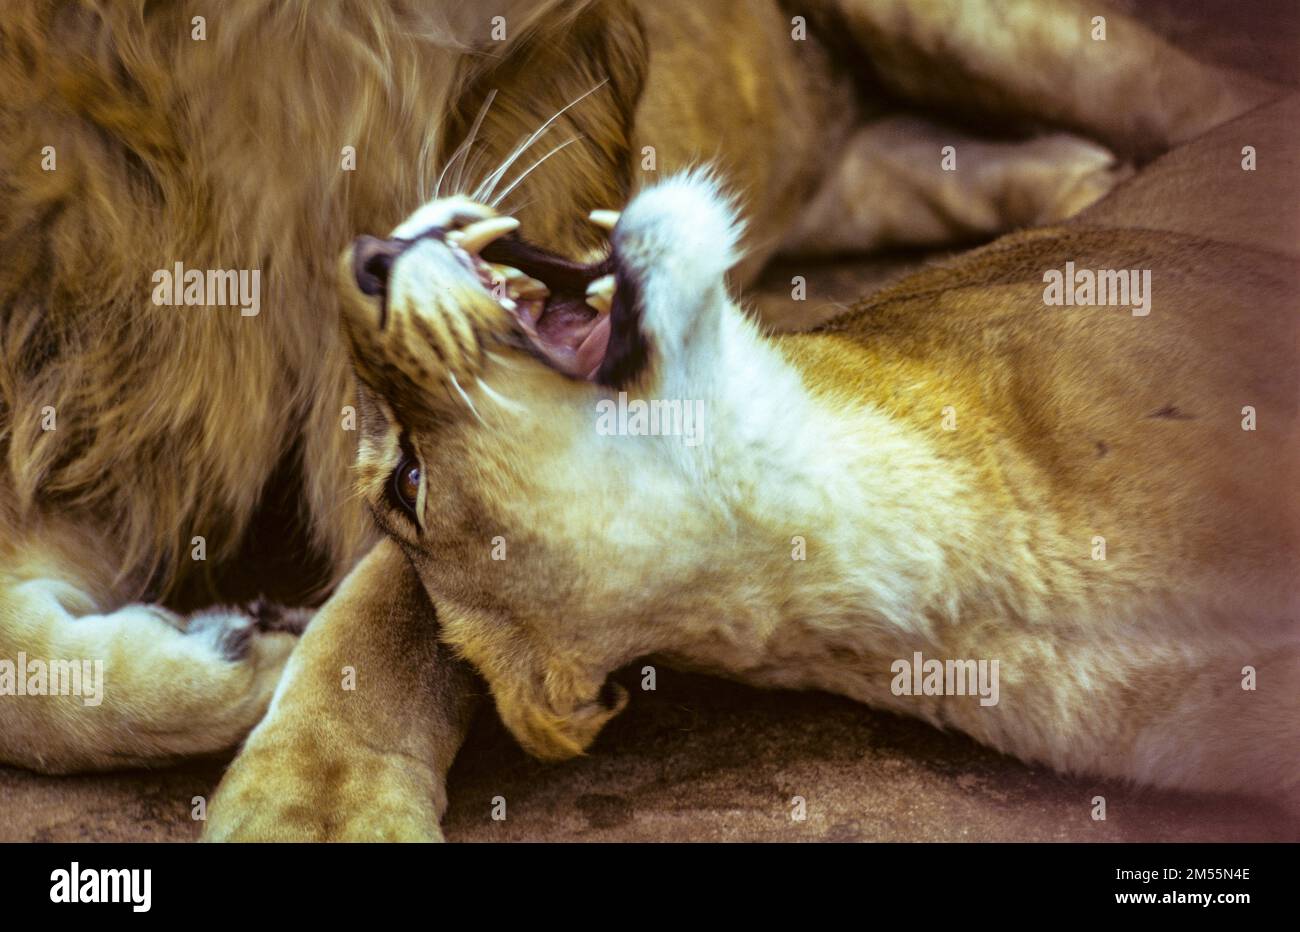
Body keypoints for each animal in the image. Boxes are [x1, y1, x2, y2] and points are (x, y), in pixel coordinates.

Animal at [0, 0, 1279, 826]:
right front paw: (238, 657)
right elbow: (32, 688)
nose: (361, 255)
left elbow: (378, 623)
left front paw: (313, 789)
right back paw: (1064, 176)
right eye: (408, 476)